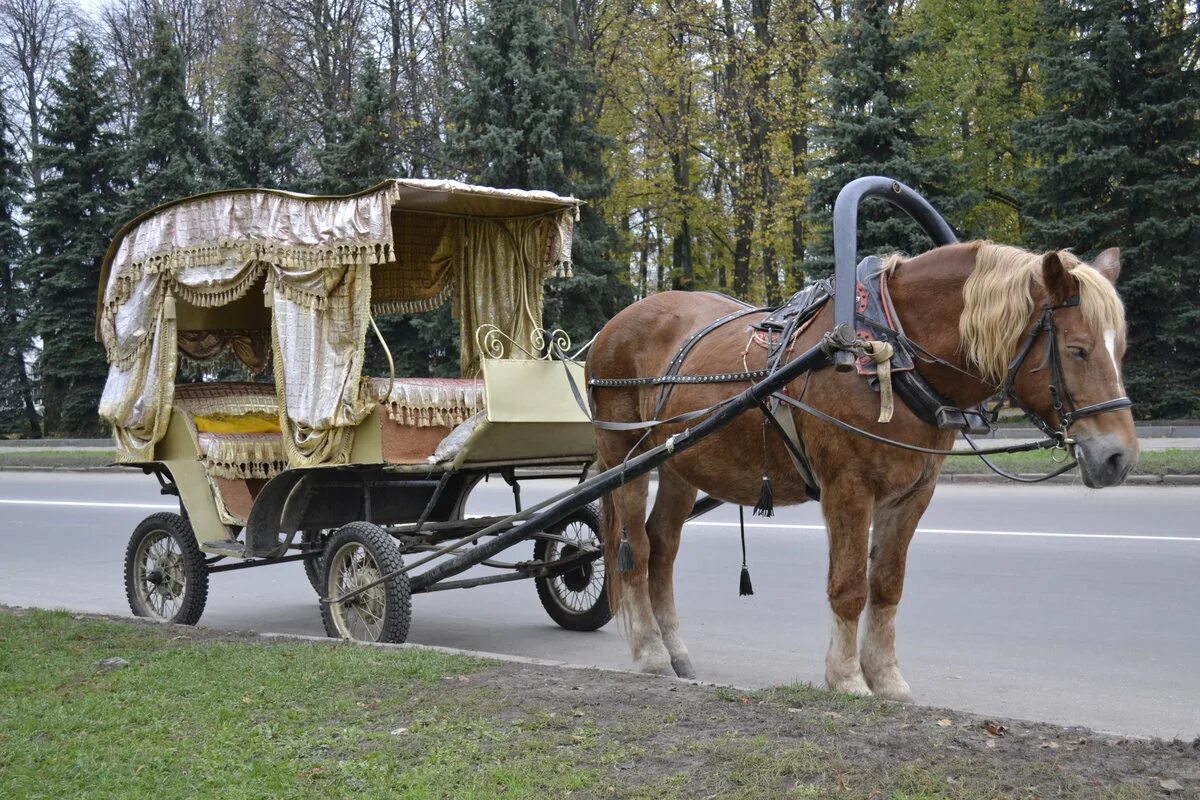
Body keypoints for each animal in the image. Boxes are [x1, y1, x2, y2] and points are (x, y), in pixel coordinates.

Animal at [585, 241, 1137, 695]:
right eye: (1078, 349)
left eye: (1121, 350)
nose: (1119, 457)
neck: (888, 353)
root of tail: (613, 325)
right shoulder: (847, 490)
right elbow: (849, 586)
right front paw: (848, 678)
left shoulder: (913, 494)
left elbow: (886, 585)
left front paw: (887, 679)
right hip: (626, 457)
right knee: (633, 548)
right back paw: (650, 652)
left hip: (679, 462)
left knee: (662, 547)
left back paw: (675, 651)